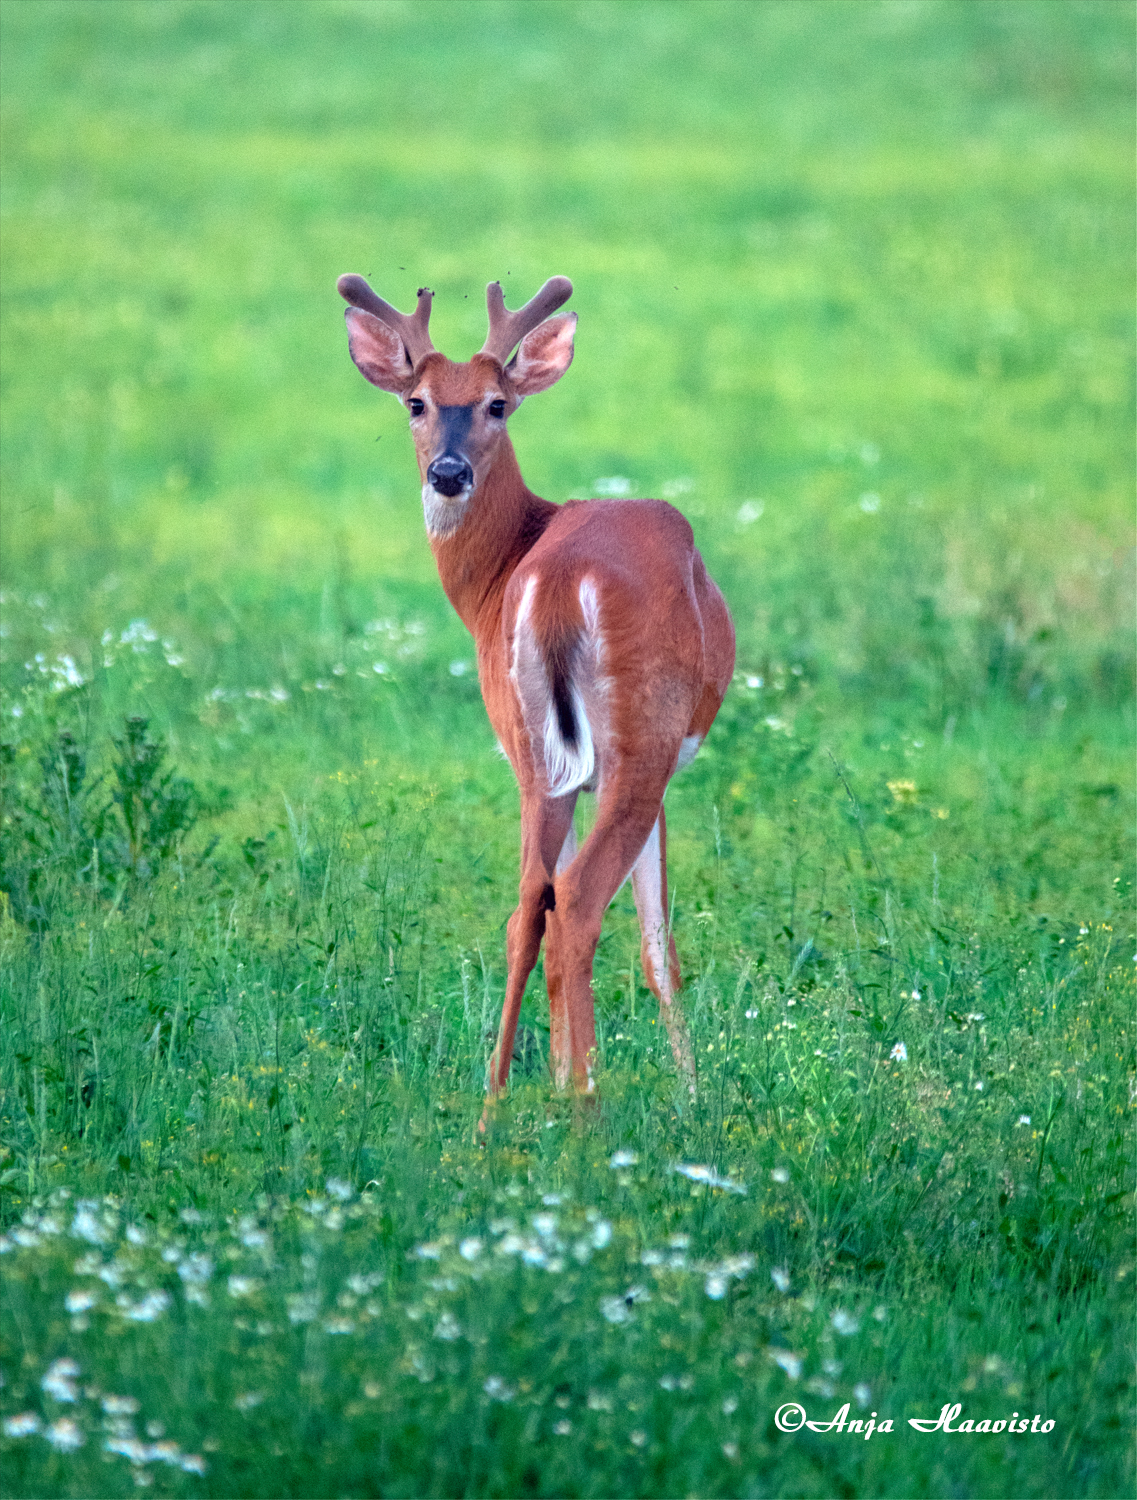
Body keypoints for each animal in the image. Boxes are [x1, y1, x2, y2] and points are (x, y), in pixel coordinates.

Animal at [336, 271, 735, 1108]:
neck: (498, 573)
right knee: (577, 903)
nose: (447, 472)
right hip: (640, 742)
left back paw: (501, 1104)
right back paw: (586, 1106)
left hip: (531, 749)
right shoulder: (638, 774)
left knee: (530, 907)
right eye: (415, 402)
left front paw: (554, 1071)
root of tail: (555, 580)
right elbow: (659, 946)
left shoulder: (559, 770)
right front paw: (691, 1096)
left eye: (496, 403)